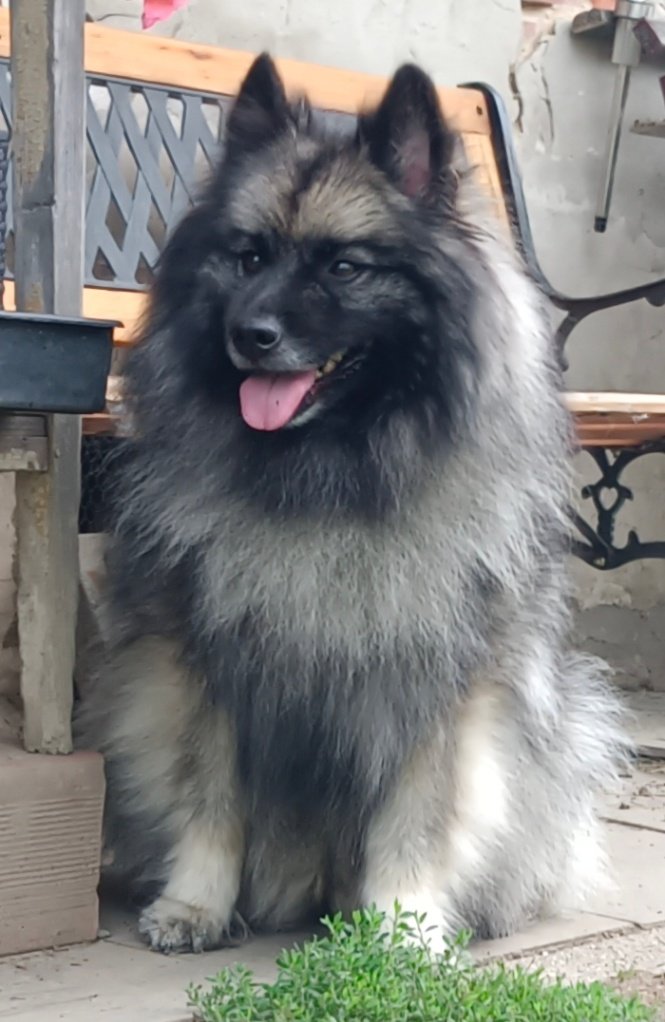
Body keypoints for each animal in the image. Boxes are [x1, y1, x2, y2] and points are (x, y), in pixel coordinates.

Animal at [76, 54, 627, 954]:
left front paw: (404, 927)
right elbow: (209, 797)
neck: (331, 474)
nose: (248, 335)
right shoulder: (209, 668)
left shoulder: (434, 686)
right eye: (248, 257)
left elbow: (417, 815)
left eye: (342, 266)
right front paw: (194, 905)